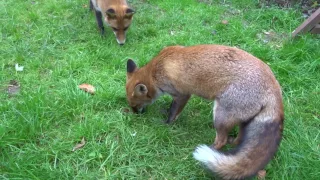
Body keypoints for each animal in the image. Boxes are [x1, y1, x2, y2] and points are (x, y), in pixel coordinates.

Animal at [126, 44, 284, 179]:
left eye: (135, 104)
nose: (135, 114)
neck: (155, 70)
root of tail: (275, 88)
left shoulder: (182, 94)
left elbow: (173, 112)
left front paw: (166, 124)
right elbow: (170, 108)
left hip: (220, 116)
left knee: (221, 140)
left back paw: (209, 151)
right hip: (242, 120)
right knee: (239, 139)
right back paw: (232, 144)